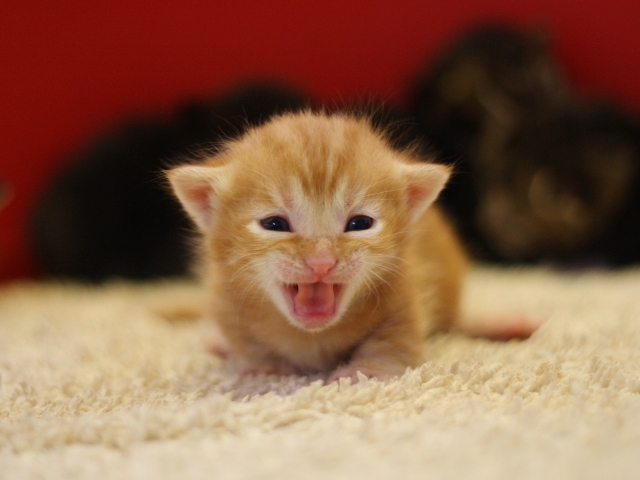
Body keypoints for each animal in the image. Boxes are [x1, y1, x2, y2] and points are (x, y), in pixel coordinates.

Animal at [169, 110, 470, 380]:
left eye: (360, 223)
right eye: (274, 224)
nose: (321, 263)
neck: (312, 335)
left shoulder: (405, 286)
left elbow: (393, 339)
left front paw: (368, 370)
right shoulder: (226, 297)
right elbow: (249, 343)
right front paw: (266, 369)